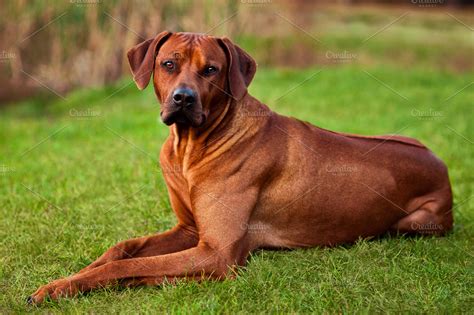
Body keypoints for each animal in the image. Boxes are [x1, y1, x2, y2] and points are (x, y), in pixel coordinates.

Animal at [27, 31, 454, 304]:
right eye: (168, 64)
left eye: (211, 70)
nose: (183, 99)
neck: (191, 147)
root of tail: (441, 163)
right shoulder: (189, 229)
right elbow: (121, 250)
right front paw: (67, 278)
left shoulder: (215, 252)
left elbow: (132, 266)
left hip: (415, 222)